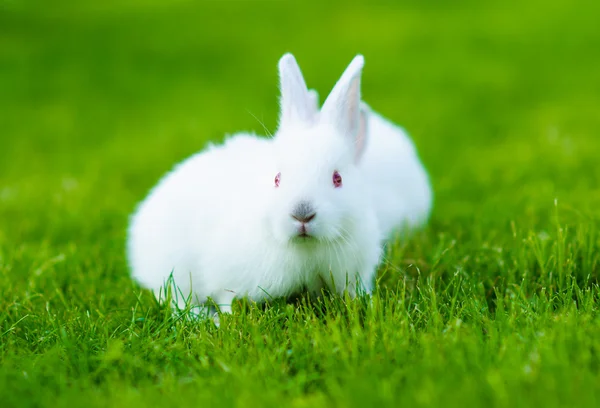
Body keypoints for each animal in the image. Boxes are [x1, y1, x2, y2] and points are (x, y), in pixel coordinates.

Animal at [125, 54, 382, 316]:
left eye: (337, 178)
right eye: (277, 178)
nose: (302, 214)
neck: (306, 249)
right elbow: (225, 300)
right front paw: (225, 318)